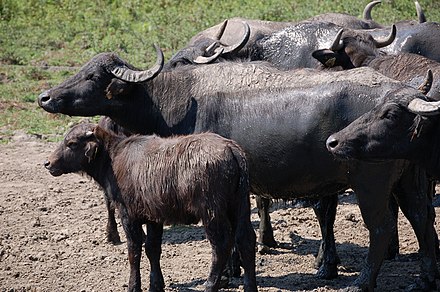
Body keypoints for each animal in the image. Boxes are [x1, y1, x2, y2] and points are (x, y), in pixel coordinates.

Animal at [43, 122, 258, 292]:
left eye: (71, 143)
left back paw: (210, 286)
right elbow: (152, 249)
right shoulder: (154, 216)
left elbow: (134, 250)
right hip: (240, 205)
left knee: (221, 246)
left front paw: (133, 286)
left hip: (212, 211)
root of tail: (231, 149)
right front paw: (156, 285)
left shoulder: (128, 215)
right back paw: (250, 287)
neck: (113, 158)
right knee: (246, 240)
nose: (48, 163)